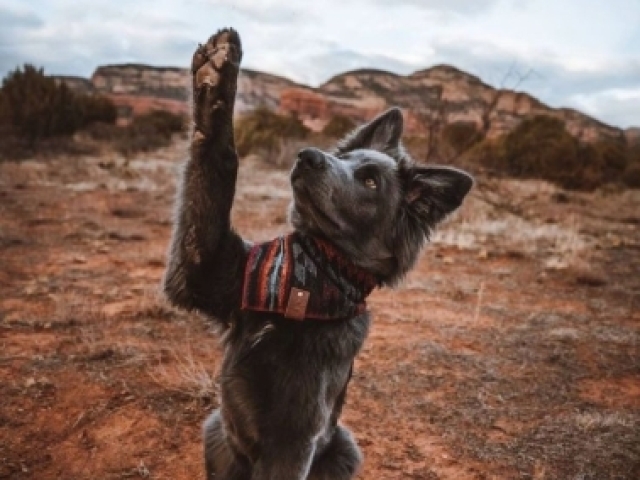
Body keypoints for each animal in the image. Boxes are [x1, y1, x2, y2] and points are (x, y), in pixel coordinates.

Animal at [164, 29, 476, 480]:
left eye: (370, 181)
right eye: (342, 158)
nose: (307, 156)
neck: (303, 282)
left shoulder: (293, 439)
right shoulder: (204, 267)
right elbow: (215, 165)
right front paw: (217, 75)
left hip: (344, 447)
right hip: (216, 432)